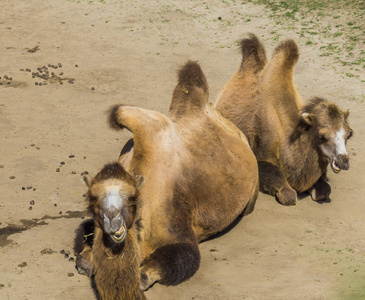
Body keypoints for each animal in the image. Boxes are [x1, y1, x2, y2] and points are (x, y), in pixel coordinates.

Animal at [215, 33, 352, 206]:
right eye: (322, 136)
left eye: (349, 134)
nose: (343, 161)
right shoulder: (261, 157)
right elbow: (289, 195)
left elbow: (323, 192)